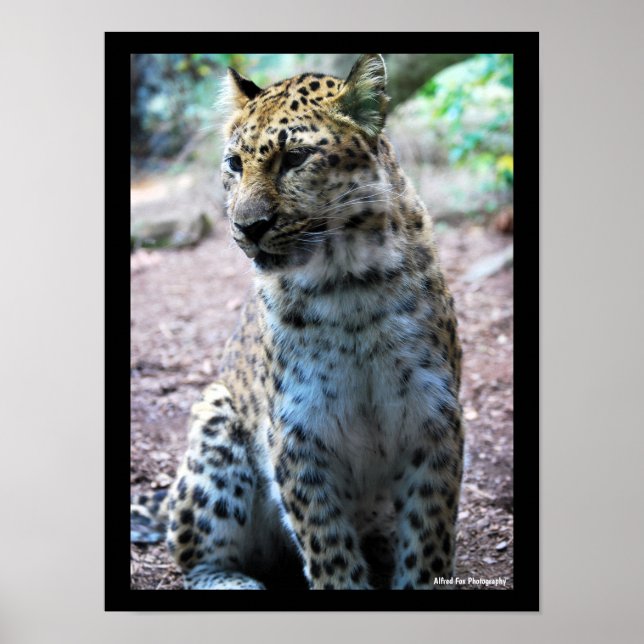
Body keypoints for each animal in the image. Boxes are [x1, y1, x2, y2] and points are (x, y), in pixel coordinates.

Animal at [131, 54, 464, 590]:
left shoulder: (433, 419)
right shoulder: (298, 434)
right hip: (215, 423)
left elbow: (428, 544)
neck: (349, 285)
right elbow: (330, 552)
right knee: (192, 556)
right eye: (234, 164)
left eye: (295, 159)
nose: (247, 227)